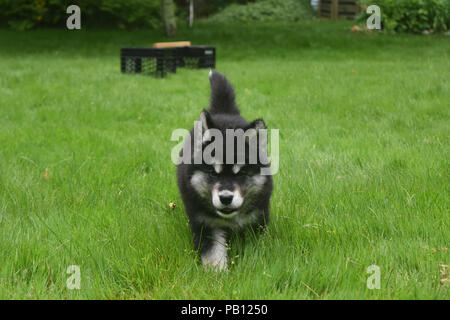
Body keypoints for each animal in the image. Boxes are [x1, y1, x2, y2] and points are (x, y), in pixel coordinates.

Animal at [178, 71, 272, 272]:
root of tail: (224, 112)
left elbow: (258, 244)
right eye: (213, 174)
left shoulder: (259, 215)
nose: (226, 198)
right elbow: (213, 252)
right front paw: (217, 274)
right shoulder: (205, 223)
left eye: (242, 173)